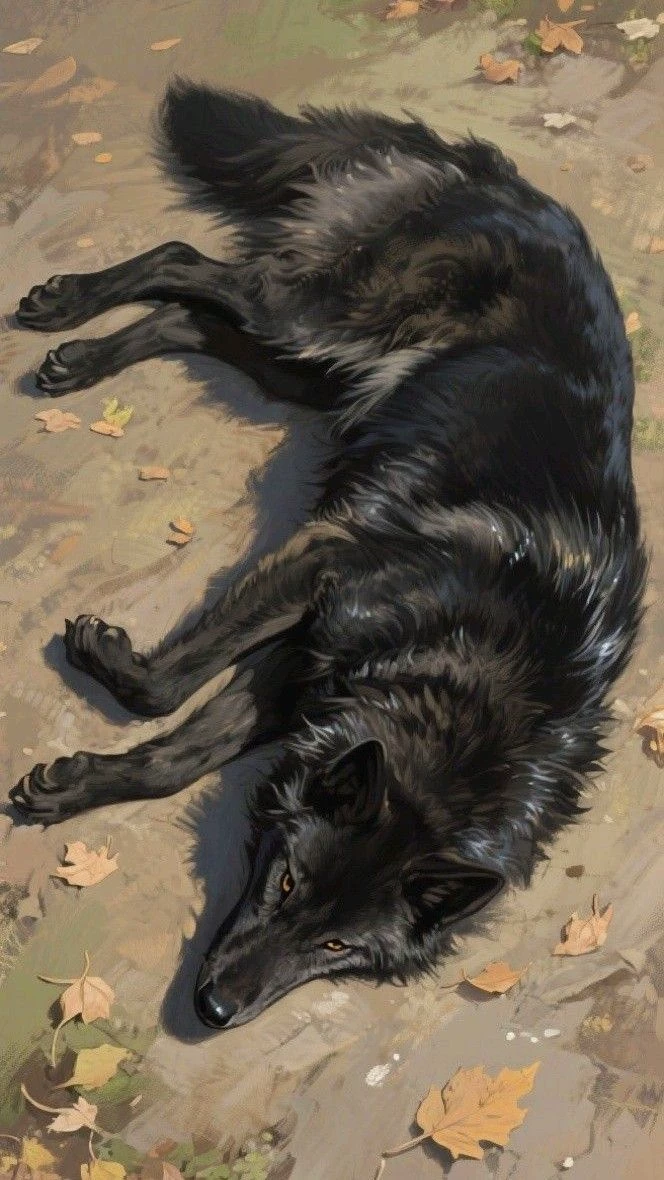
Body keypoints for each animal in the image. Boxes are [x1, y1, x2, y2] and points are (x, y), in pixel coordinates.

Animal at [9, 81, 647, 1029]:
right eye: (283, 884)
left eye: (338, 947)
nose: (214, 1011)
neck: (486, 672)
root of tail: (513, 183)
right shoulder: (323, 574)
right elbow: (164, 687)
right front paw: (103, 670)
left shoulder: (315, 674)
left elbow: (177, 757)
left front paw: (74, 784)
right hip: (306, 322)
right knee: (187, 261)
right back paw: (65, 310)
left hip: (307, 367)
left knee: (187, 316)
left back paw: (83, 358)